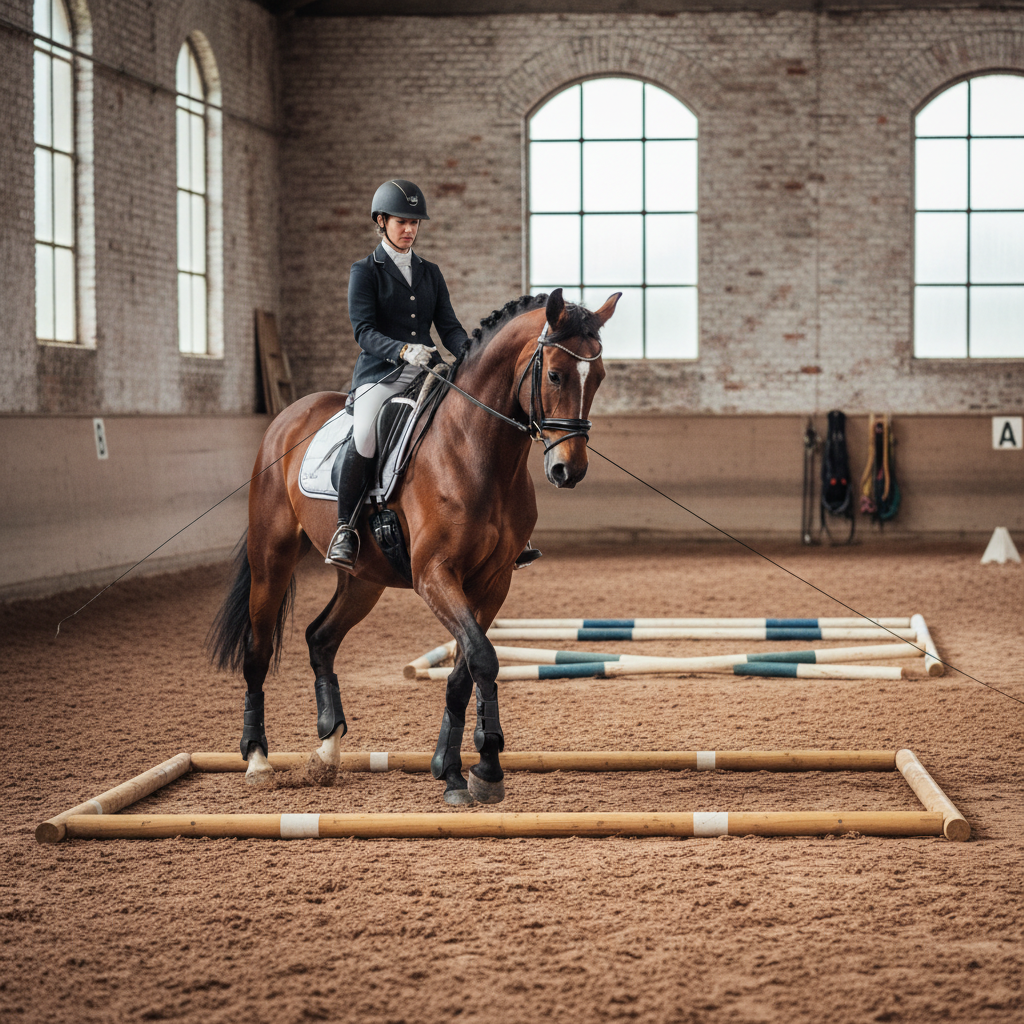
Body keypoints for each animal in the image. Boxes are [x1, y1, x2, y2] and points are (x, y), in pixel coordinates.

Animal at [208, 287, 620, 805]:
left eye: (598, 378)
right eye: (554, 374)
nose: (570, 470)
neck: (477, 453)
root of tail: (289, 416)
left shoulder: (492, 582)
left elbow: (466, 669)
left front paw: (458, 769)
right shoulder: (434, 574)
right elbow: (483, 657)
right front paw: (483, 767)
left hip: (364, 580)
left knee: (320, 638)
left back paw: (328, 749)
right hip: (272, 558)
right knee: (258, 650)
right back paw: (258, 760)